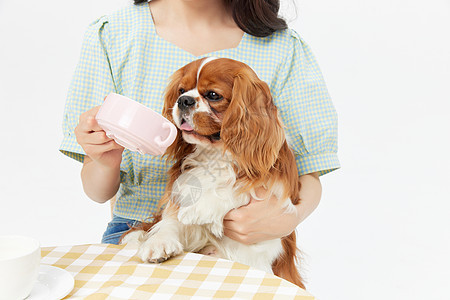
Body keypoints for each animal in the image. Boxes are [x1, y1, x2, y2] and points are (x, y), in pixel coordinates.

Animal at [123, 56, 304, 288]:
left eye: (213, 95)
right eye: (182, 89)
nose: (183, 100)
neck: (216, 155)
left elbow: (236, 190)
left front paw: (198, 208)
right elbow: (171, 222)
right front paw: (159, 243)